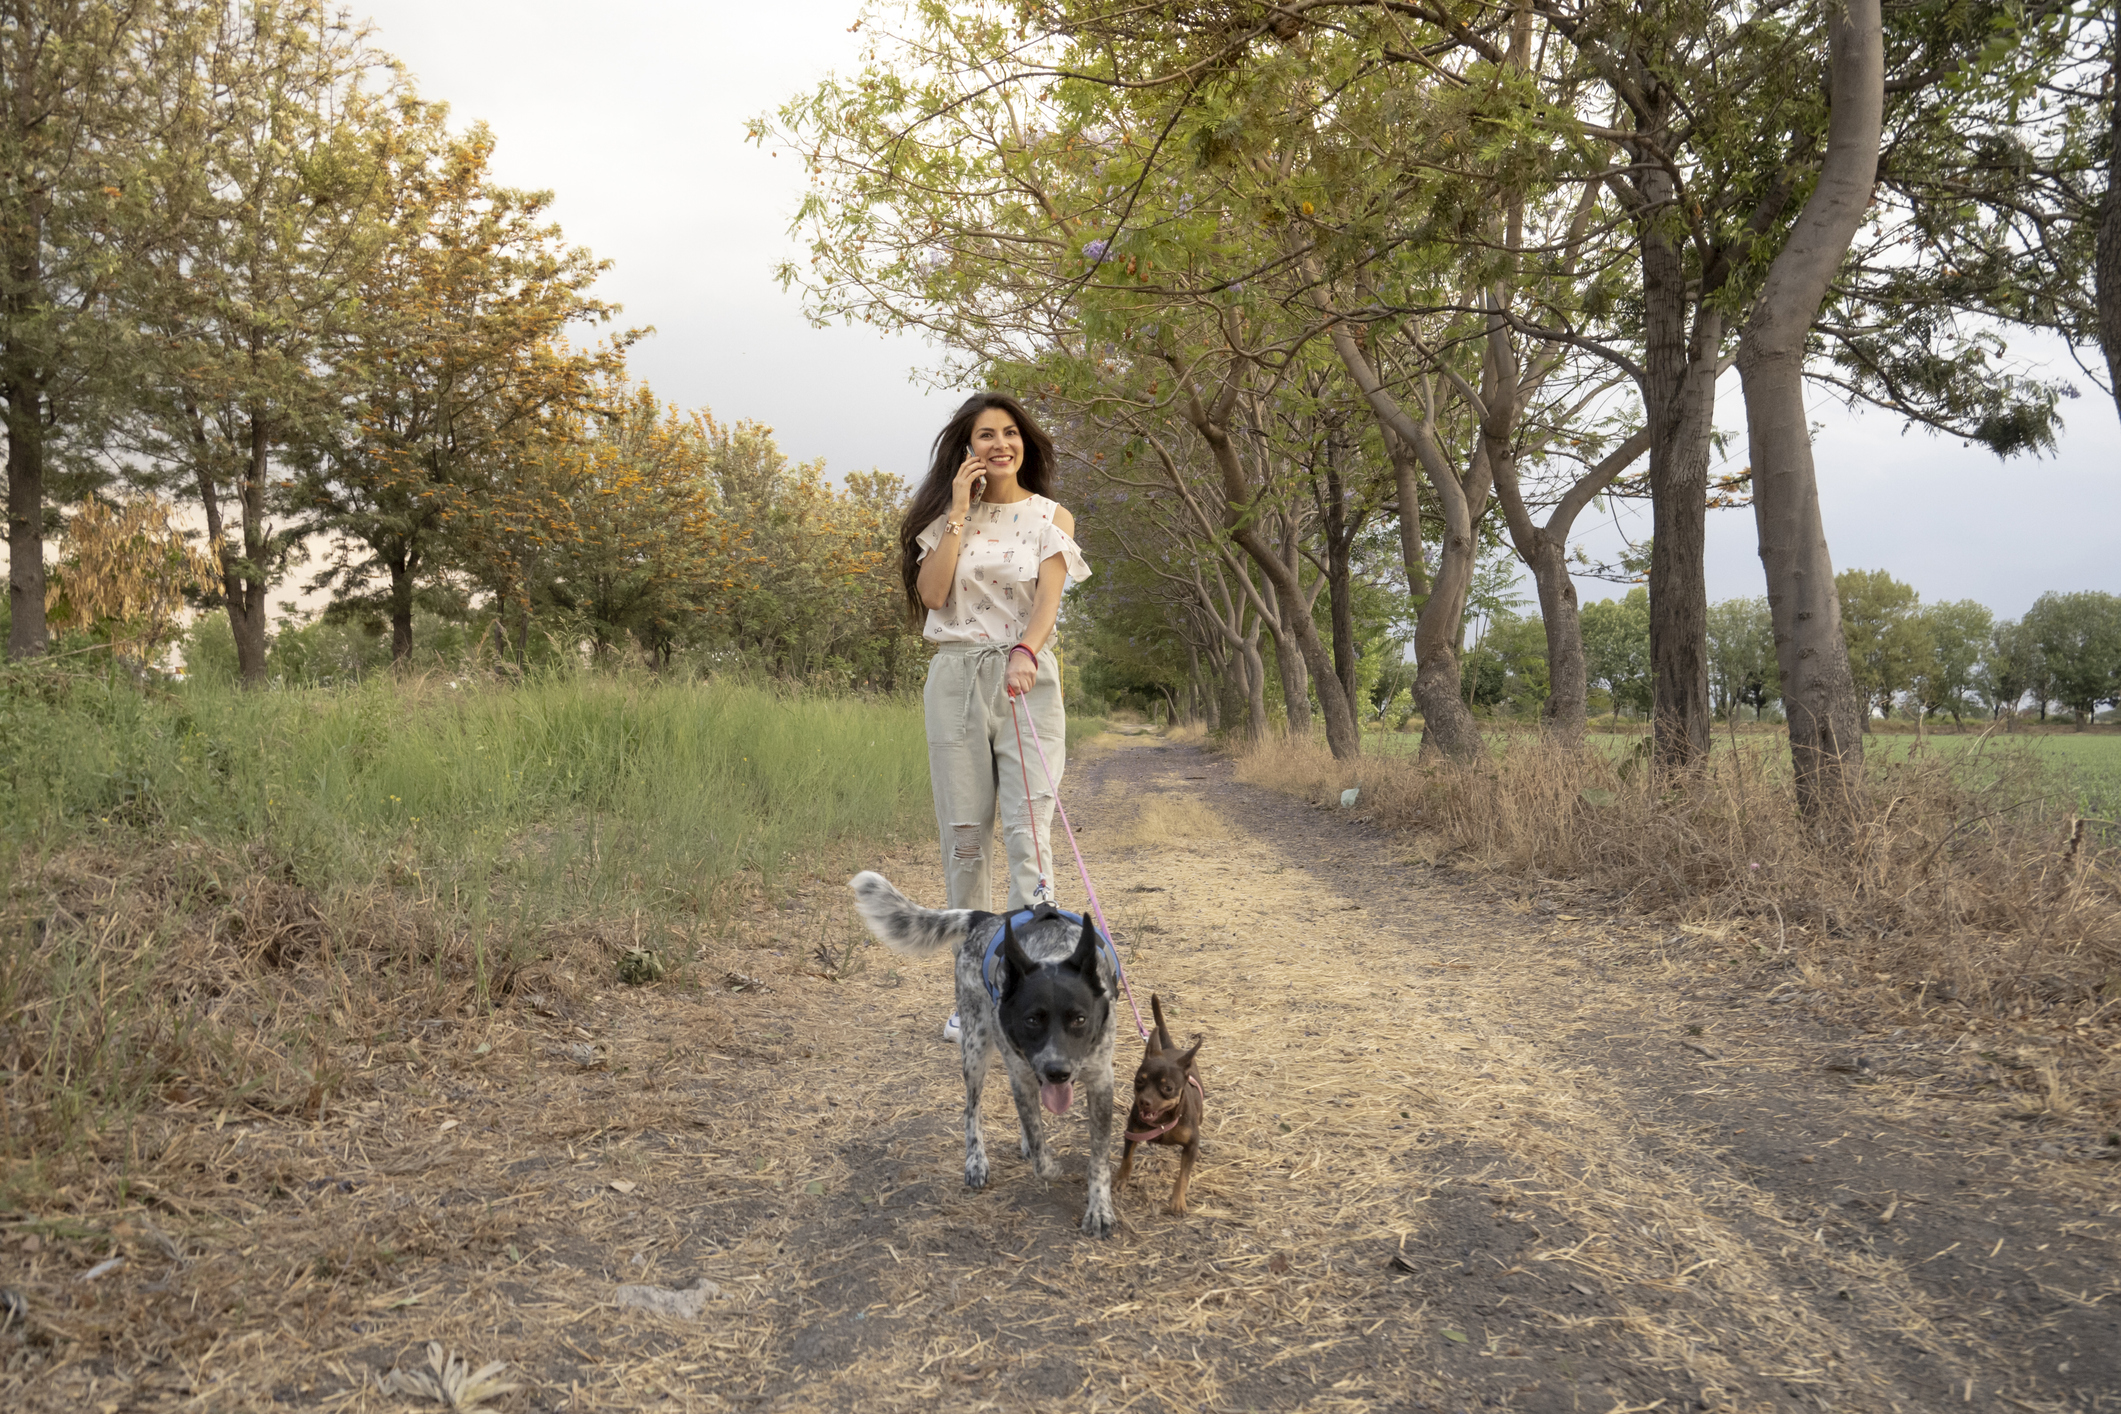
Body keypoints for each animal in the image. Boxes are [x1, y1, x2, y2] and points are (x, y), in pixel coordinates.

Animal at [844, 873, 1119, 1238]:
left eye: (1080, 1019)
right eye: (1032, 1020)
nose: (1057, 1071)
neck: (1051, 951)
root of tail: (987, 919)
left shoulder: (1100, 1082)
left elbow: (1098, 1158)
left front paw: (1099, 1207)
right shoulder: (1023, 1073)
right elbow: (1040, 1153)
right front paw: (1049, 1164)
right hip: (975, 1050)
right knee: (972, 1110)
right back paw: (977, 1160)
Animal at [1119, 996, 1204, 1221]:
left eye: (1168, 1088)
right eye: (1140, 1080)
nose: (1144, 1102)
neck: (1162, 1122)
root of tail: (1171, 1047)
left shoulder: (1192, 1146)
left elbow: (1183, 1176)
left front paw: (1178, 1201)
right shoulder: (1131, 1133)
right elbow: (1127, 1159)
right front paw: (1120, 1179)